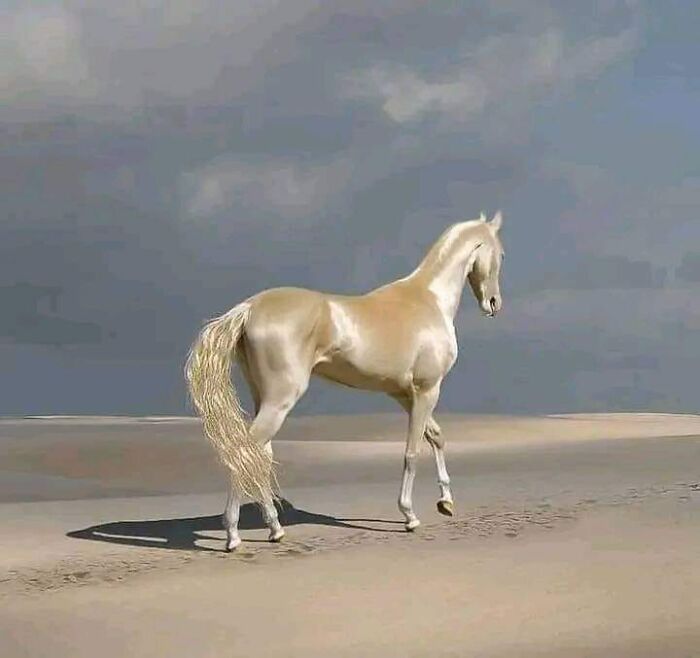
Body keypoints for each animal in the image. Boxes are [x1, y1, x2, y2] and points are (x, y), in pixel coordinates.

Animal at [185, 212, 504, 551]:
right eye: (501, 254)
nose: (493, 303)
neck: (428, 300)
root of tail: (249, 308)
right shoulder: (427, 389)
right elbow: (412, 451)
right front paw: (409, 516)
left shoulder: (405, 394)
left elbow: (436, 437)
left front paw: (446, 502)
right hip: (280, 401)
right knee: (245, 451)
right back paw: (233, 535)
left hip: (265, 399)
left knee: (260, 455)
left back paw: (275, 529)